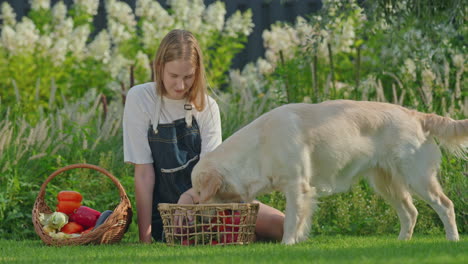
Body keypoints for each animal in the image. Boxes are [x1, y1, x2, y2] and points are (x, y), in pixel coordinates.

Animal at [190, 100, 464, 244]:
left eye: (199, 192)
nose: (199, 217)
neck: (259, 146)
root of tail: (416, 114)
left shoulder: (297, 186)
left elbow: (291, 220)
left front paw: (286, 244)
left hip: (417, 177)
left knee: (445, 204)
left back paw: (452, 239)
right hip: (386, 183)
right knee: (411, 211)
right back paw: (402, 242)